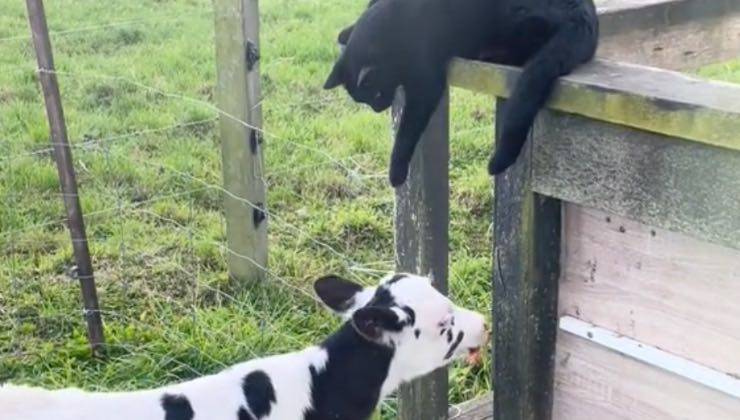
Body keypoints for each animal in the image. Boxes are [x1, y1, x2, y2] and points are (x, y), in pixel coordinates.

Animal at [326, 0, 600, 187]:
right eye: (367, 100)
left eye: (376, 95)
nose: (378, 109)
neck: (394, 24)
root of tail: (584, 15)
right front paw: (345, 32)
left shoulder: (425, 84)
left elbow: (406, 132)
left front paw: (396, 172)